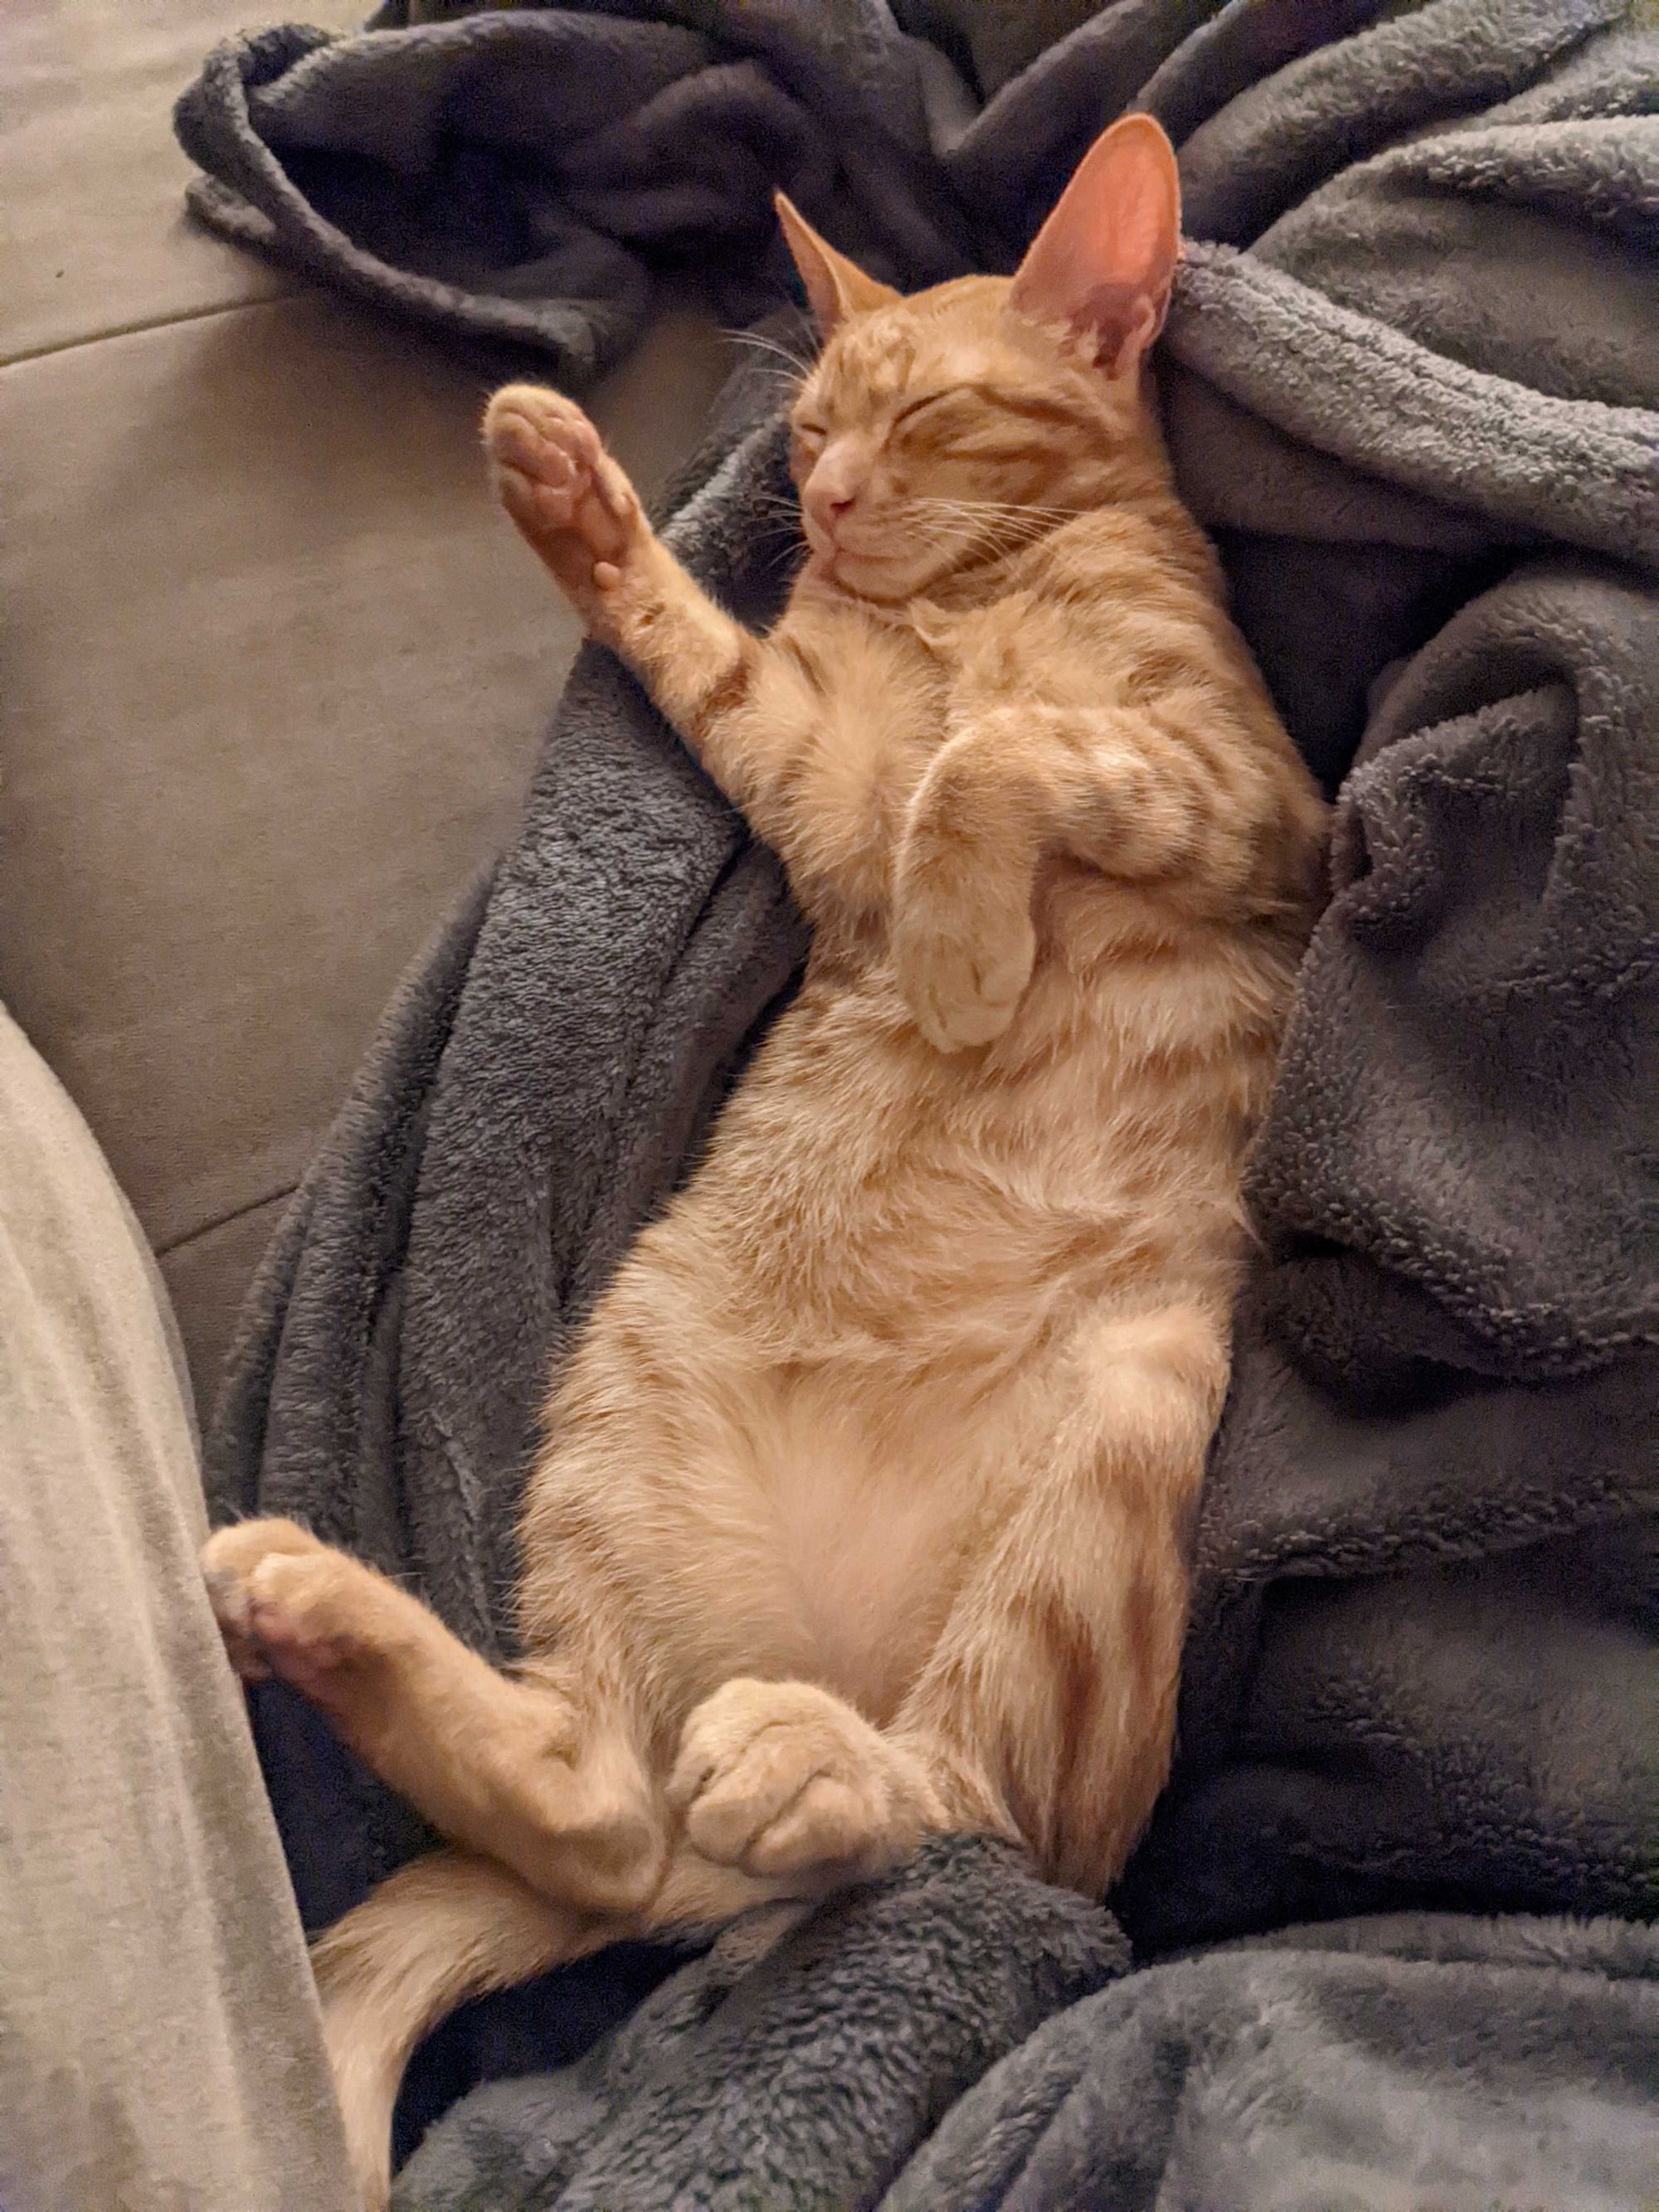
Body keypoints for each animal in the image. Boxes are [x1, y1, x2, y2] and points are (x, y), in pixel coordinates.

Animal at [201, 112, 1335, 2203]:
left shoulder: (1246, 791)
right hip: (618, 1409)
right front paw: (575, 500)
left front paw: (967, 962)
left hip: (1136, 1415)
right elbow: (734, 676)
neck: (963, 596)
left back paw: (809, 1760)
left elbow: (1007, 757)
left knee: (975, 1822)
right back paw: (314, 1605)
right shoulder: (816, 791)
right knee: (603, 1815)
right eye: (808, 422)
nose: (824, 490)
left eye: (926, 409)